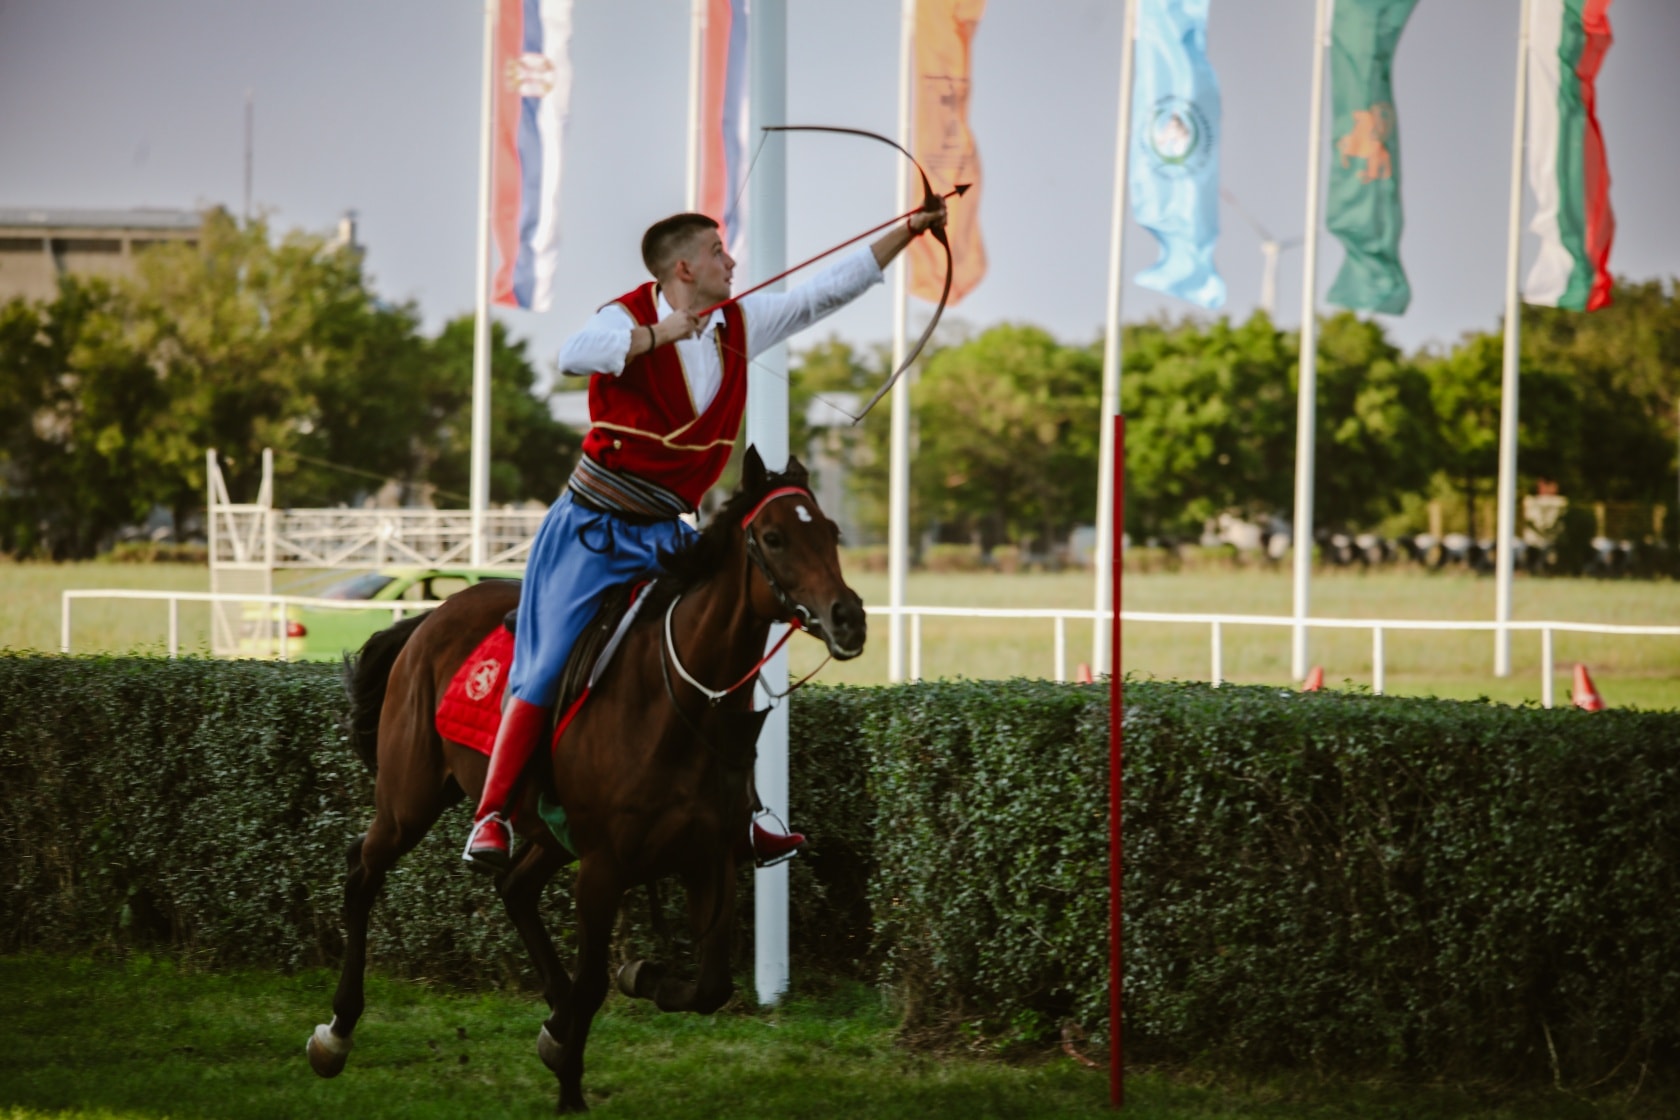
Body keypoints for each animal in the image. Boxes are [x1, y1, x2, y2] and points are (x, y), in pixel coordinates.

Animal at [306, 449, 866, 1113]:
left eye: (831, 532)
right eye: (775, 538)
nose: (848, 618)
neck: (677, 706)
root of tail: (424, 621)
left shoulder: (709, 857)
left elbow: (710, 984)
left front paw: (631, 985)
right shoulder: (603, 867)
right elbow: (598, 980)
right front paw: (571, 1085)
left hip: (548, 832)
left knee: (516, 889)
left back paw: (556, 1017)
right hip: (409, 799)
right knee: (363, 872)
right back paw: (337, 1032)